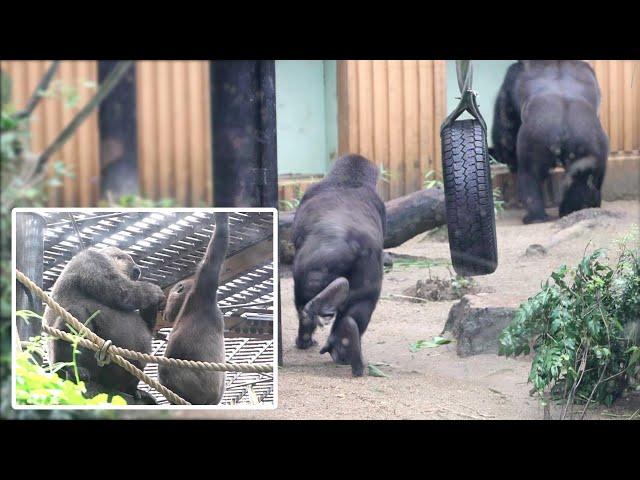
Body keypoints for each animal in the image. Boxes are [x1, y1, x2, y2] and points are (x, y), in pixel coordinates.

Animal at [44, 246, 165, 404]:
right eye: (134, 271)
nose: (137, 271)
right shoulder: (92, 259)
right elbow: (122, 292)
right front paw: (155, 292)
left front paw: (152, 307)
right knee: (76, 313)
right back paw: (72, 368)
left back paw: (132, 390)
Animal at [159, 212, 230, 404]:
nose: (165, 311)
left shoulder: (201, 290)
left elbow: (213, 258)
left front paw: (221, 219)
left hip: (200, 391)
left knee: (166, 371)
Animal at [290, 154, 384, 376]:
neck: (350, 181)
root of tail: (352, 245)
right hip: (369, 269)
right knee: (359, 309)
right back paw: (346, 345)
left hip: (313, 263)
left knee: (303, 303)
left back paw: (306, 335)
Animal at [490, 59, 608, 223]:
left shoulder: (511, 75)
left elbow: (505, 129)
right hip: (591, 142)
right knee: (583, 179)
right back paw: (576, 208)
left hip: (534, 137)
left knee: (529, 173)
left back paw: (536, 216)